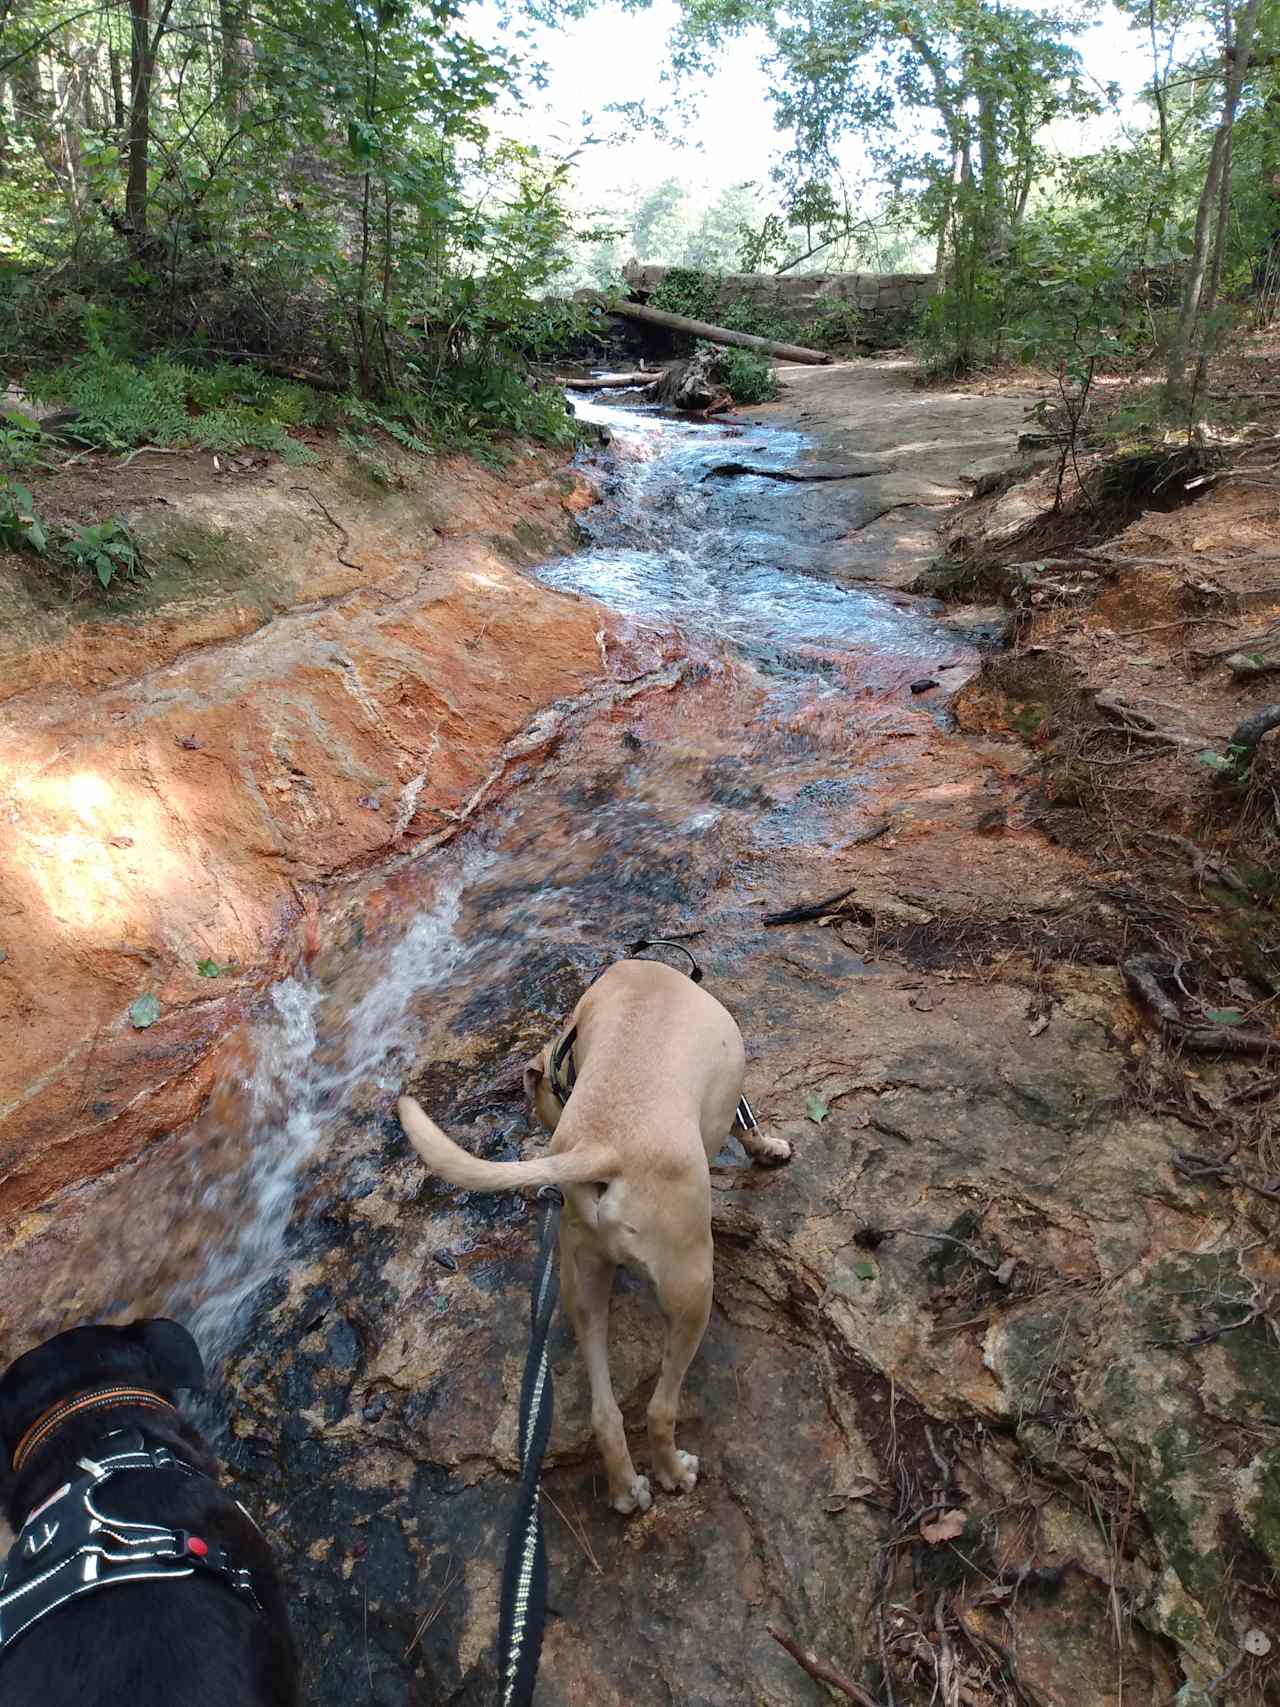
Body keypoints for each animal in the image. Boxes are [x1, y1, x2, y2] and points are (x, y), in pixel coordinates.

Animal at [399, 962, 791, 1522]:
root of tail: (601, 1147)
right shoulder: (736, 1107)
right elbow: (747, 1125)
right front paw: (770, 1149)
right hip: (692, 1286)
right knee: (659, 1407)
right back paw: (674, 1474)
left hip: (581, 1286)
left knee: (604, 1413)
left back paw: (627, 1490)